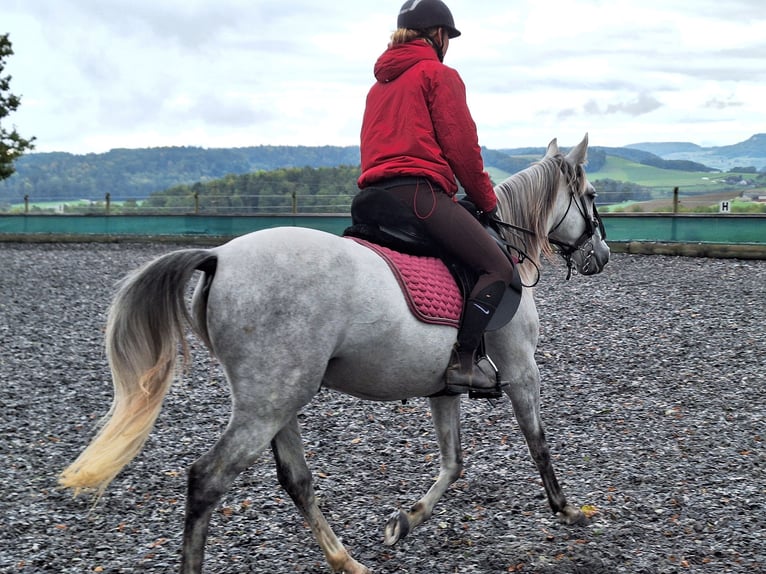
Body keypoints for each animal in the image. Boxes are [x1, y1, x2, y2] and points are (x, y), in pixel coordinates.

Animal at [60, 136, 612, 574]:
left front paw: (403, 522)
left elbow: (453, 462)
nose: (602, 257)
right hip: (269, 401)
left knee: (296, 480)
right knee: (207, 480)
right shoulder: (522, 371)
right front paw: (568, 511)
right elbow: (538, 444)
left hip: (278, 398)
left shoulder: (444, 385)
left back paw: (346, 560)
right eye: (590, 196)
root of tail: (219, 255)